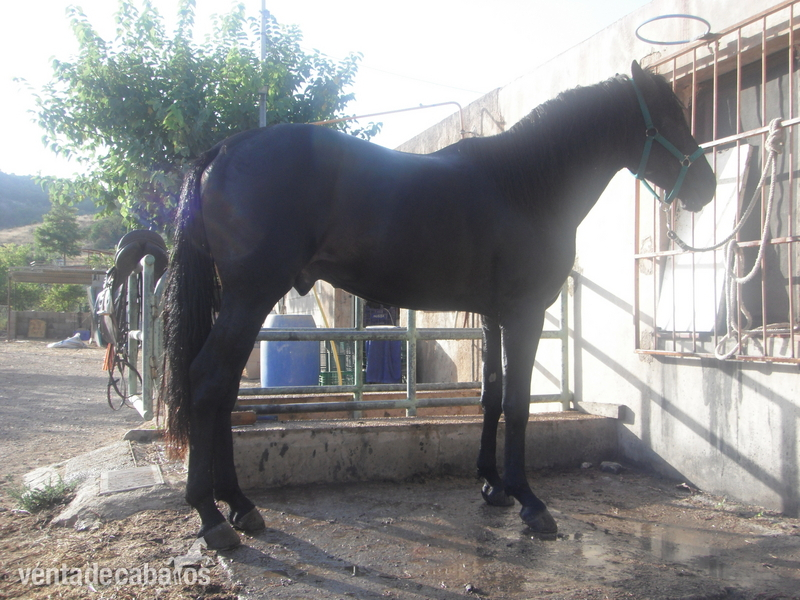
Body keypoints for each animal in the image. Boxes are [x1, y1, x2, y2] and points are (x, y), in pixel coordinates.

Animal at [160, 61, 716, 549]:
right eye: (671, 116)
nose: (708, 187)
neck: (523, 187)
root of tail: (226, 148)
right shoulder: (525, 313)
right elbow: (518, 405)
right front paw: (530, 502)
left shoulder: (494, 315)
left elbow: (491, 394)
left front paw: (493, 486)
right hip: (251, 295)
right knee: (209, 381)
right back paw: (212, 516)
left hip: (241, 301)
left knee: (226, 389)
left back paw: (240, 504)